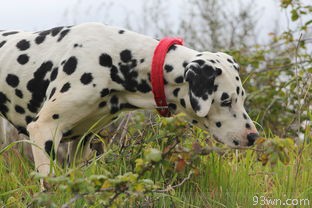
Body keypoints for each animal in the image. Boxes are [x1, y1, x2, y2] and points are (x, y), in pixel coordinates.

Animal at [0, 23, 258, 188]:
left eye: (242, 98)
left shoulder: (81, 141)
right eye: (225, 100)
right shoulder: (44, 129)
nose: (254, 136)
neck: (113, 57)